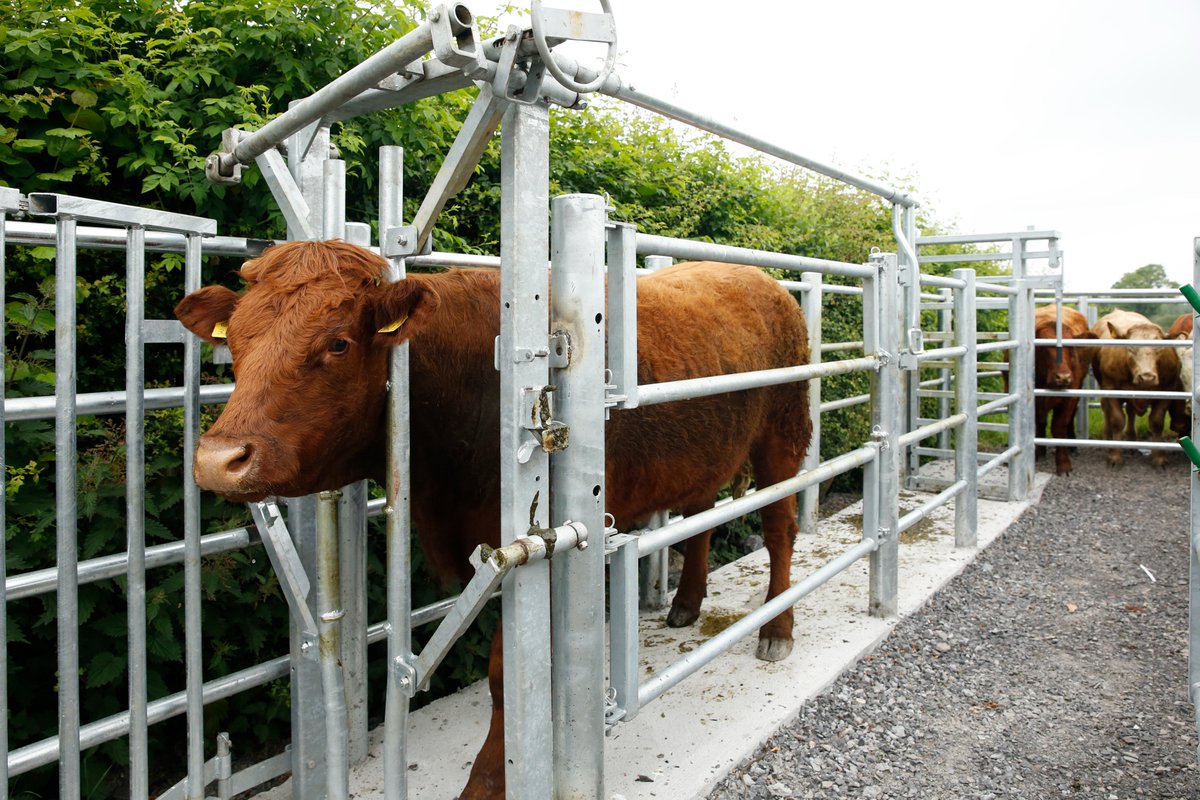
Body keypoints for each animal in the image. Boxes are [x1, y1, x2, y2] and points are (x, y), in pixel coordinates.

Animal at [175, 239, 811, 800]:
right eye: (236, 340)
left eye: (337, 343)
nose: (218, 460)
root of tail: (757, 278)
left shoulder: (530, 550)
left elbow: (508, 675)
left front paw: (490, 780)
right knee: (701, 518)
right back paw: (686, 604)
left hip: (783, 431)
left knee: (780, 527)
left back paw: (778, 630)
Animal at [1032, 305, 1097, 475]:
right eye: (1043, 347)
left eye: (1071, 347)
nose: (1063, 377)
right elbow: (1036, 424)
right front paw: (1036, 454)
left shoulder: (1069, 399)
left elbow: (1059, 427)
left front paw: (1063, 464)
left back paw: (1072, 445)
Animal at [1090, 309, 1180, 468]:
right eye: (1130, 348)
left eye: (1159, 348)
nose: (1147, 376)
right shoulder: (1111, 389)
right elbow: (1117, 421)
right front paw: (1115, 456)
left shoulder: (1168, 390)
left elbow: (1157, 423)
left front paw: (1159, 458)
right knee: (1106, 411)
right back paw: (1107, 438)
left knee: (1131, 412)